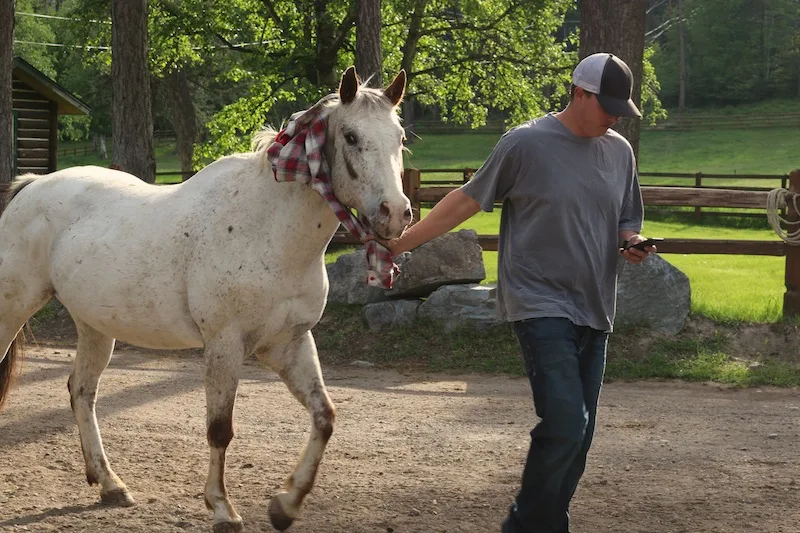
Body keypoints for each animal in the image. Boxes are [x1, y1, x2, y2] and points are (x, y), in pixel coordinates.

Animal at [0, 67, 412, 532]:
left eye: (400, 137)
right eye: (351, 136)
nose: (396, 213)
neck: (267, 228)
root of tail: (31, 186)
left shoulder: (288, 344)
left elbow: (324, 418)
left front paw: (285, 505)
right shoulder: (224, 345)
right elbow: (220, 429)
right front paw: (222, 508)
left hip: (94, 327)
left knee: (81, 391)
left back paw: (110, 484)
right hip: (11, 309)